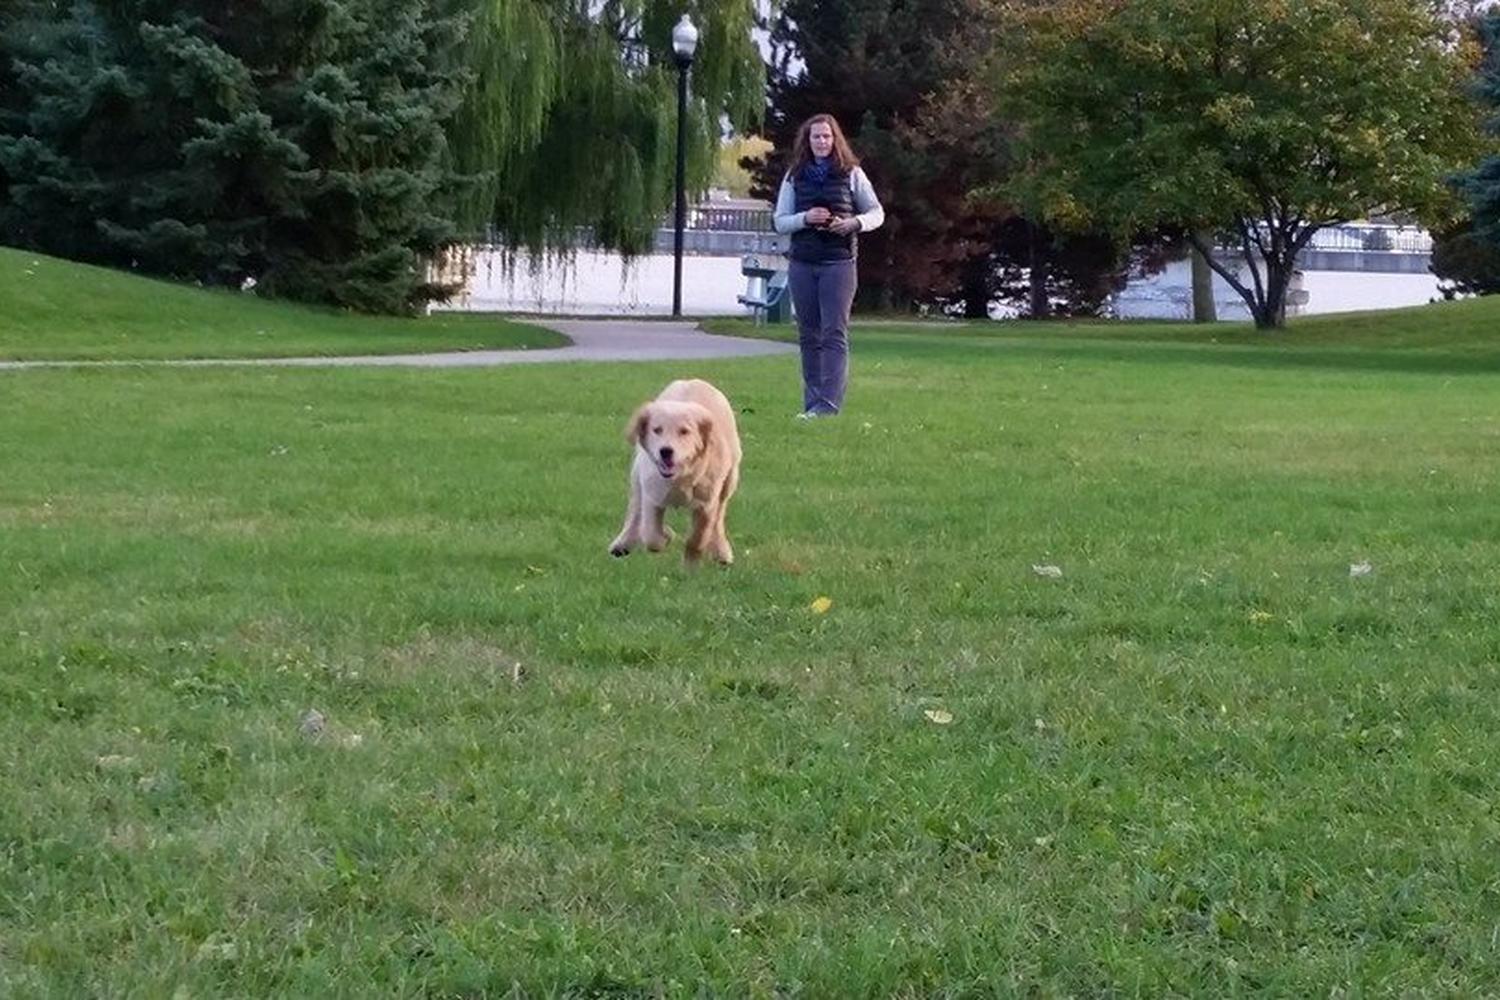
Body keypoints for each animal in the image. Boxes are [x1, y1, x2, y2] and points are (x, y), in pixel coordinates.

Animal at [609, 377, 744, 563]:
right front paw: (667, 535)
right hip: (636, 474)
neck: (680, 477)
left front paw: (690, 561)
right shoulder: (653, 494)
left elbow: (699, 537)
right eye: (657, 430)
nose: (665, 451)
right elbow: (651, 534)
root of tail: (694, 380)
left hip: (730, 479)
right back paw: (622, 544)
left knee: (719, 516)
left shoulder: (707, 502)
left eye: (684, 431)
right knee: (635, 509)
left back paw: (722, 552)